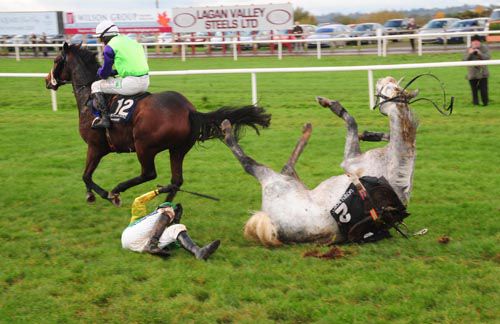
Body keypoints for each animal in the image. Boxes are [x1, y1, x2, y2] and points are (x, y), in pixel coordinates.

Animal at [45, 43, 272, 205]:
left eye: (56, 60)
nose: (47, 80)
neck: (88, 99)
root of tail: (189, 110)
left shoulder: (96, 146)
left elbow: (86, 175)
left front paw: (102, 194)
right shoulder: (97, 148)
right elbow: (87, 175)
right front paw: (90, 195)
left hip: (144, 146)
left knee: (149, 173)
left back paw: (119, 190)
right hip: (178, 149)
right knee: (176, 181)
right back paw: (163, 208)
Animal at [221, 76, 420, 246]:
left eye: (390, 87)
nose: (382, 79)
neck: (393, 163)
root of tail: (273, 226)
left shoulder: (350, 161)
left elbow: (352, 122)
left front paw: (333, 106)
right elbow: (359, 127)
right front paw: (369, 133)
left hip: (274, 181)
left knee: (251, 164)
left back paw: (227, 130)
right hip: (292, 183)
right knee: (288, 166)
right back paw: (307, 130)